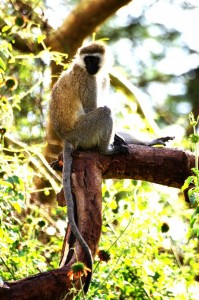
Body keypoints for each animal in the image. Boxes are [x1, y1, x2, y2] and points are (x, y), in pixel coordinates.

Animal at [49, 41, 173, 292]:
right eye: (87, 60)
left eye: (94, 59)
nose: (91, 67)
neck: (92, 73)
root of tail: (67, 138)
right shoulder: (88, 81)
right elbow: (94, 108)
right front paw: (115, 142)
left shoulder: (102, 77)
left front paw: (147, 141)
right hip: (84, 132)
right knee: (104, 112)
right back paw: (107, 150)